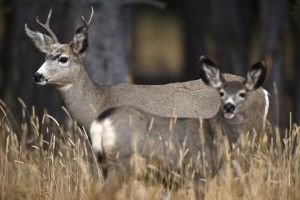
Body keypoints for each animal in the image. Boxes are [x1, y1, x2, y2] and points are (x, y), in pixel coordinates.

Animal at [24, 8, 268, 135]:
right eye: (45, 56)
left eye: (63, 58)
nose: (37, 75)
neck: (100, 101)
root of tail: (264, 93)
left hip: (248, 130)